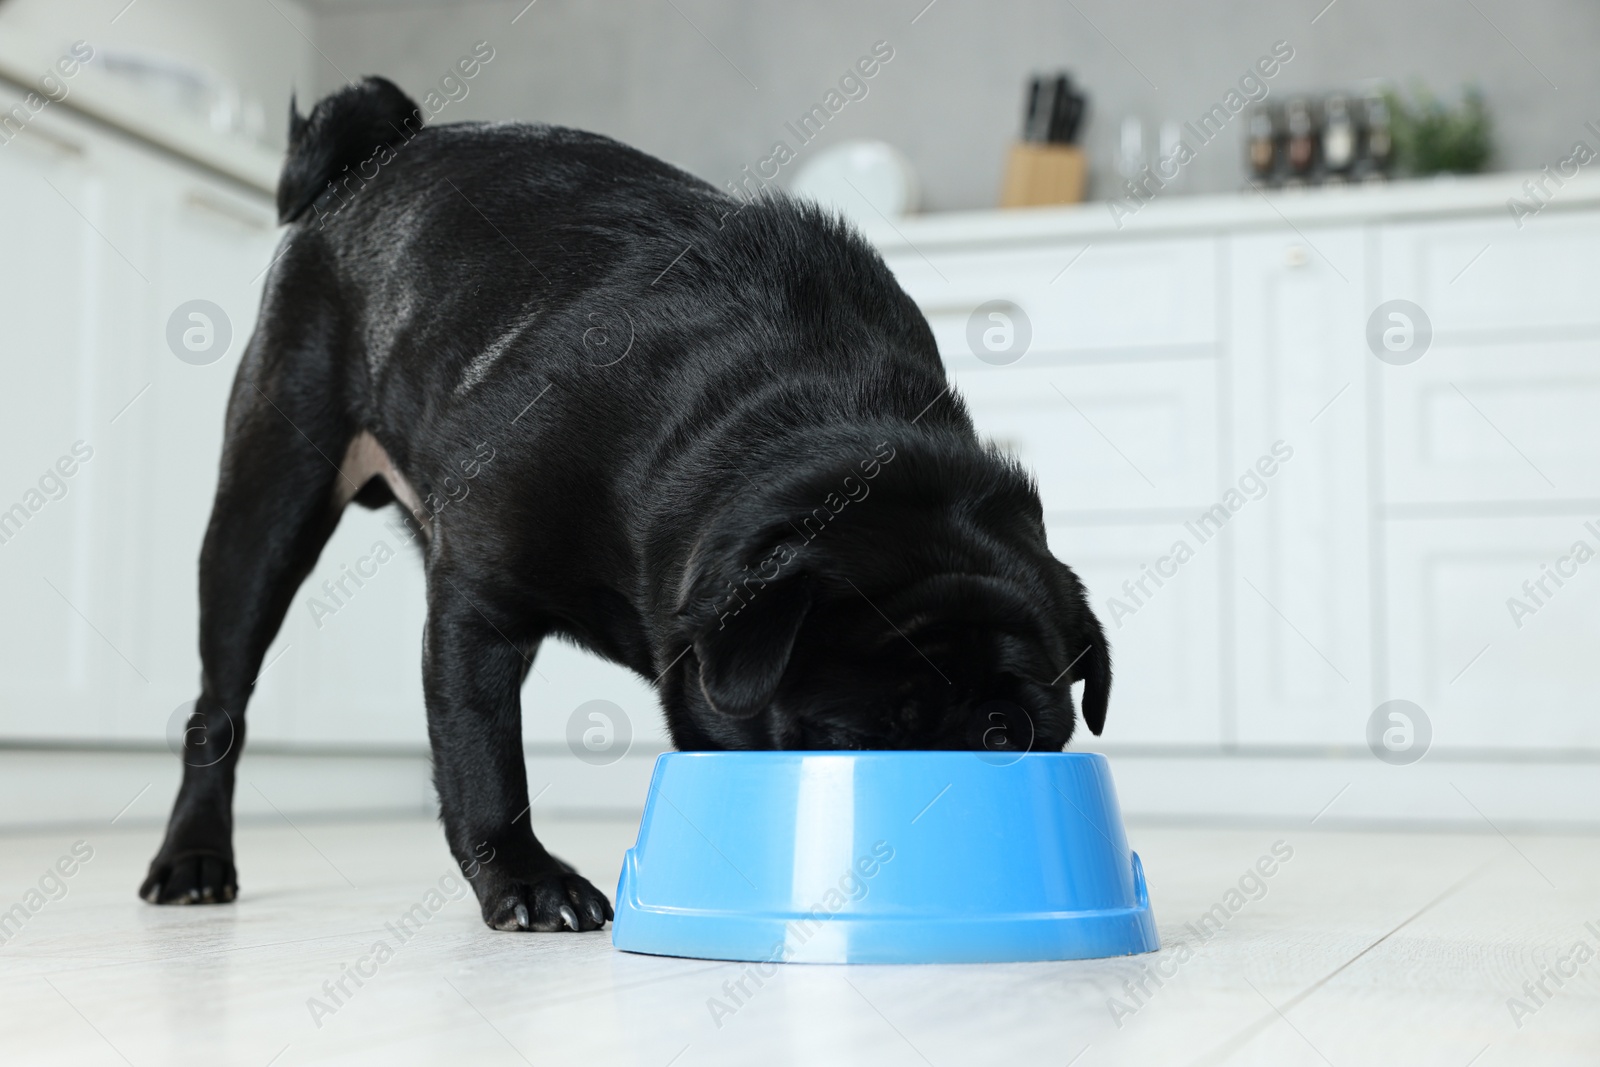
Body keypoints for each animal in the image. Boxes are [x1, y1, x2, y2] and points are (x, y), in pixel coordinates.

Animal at [144, 77, 1107, 934]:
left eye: (1020, 738)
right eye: (853, 738)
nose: (960, 773)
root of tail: (374, 157)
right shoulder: (476, 608)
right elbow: (483, 754)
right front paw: (526, 880)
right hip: (266, 508)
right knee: (219, 704)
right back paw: (192, 858)